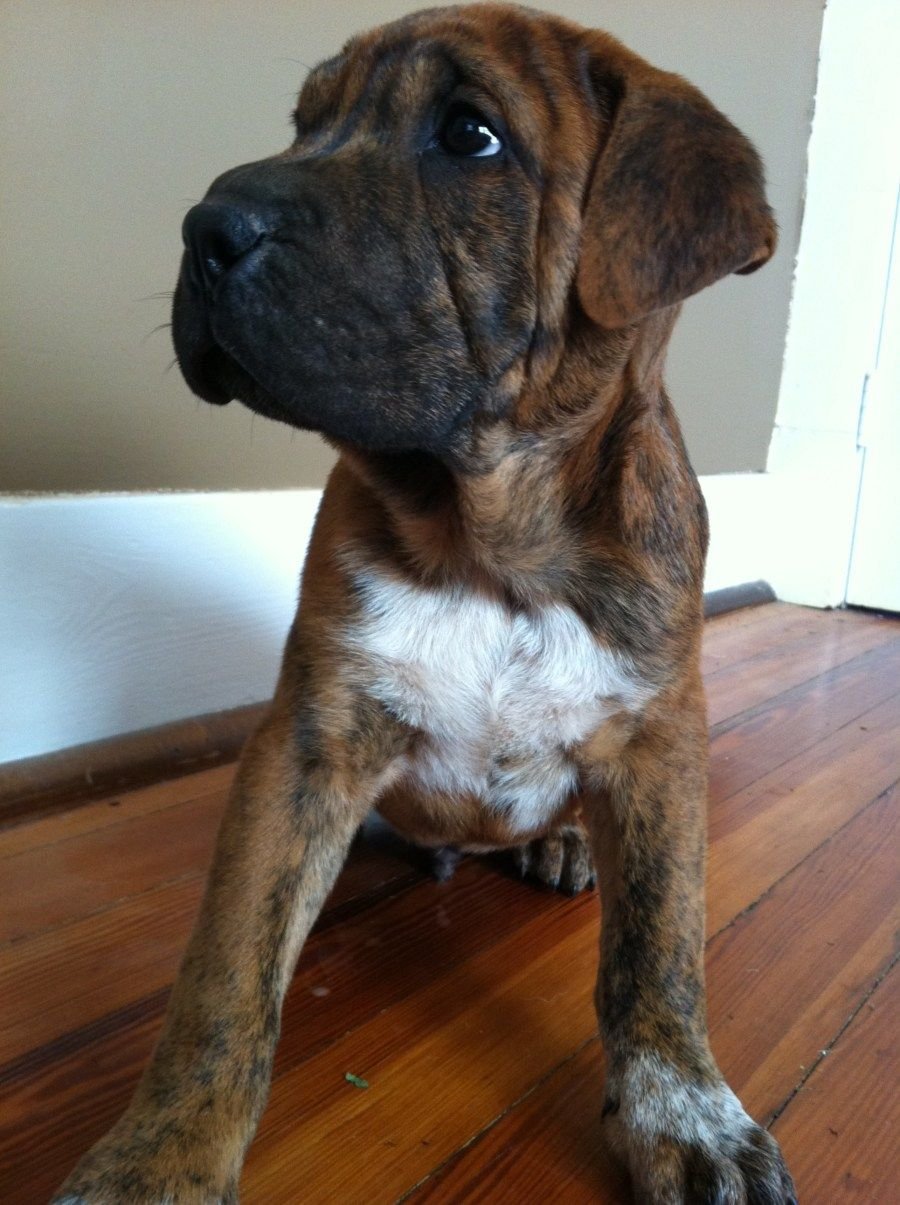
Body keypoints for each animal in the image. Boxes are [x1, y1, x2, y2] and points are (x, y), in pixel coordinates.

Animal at [54, 4, 795, 1200]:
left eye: (469, 135)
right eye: (302, 121)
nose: (205, 229)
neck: (492, 544)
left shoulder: (660, 743)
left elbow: (660, 952)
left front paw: (688, 1114)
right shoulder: (306, 742)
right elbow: (223, 977)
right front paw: (158, 1153)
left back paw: (563, 843)